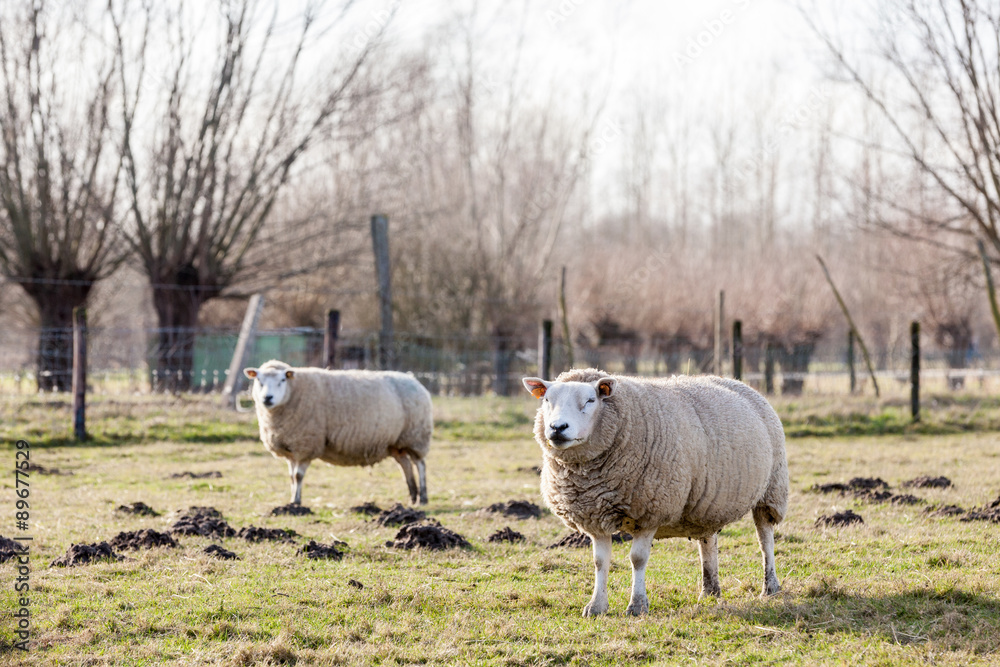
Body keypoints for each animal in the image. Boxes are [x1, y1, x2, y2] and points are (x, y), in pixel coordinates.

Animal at [244, 359, 432, 506]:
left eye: (282, 379)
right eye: (259, 380)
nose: (267, 398)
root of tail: (413, 379)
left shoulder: (306, 445)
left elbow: (298, 476)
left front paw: (296, 502)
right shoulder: (291, 450)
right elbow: (291, 477)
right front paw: (291, 500)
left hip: (416, 436)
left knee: (420, 465)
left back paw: (422, 498)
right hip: (397, 442)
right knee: (405, 465)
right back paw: (412, 496)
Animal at [522, 368, 788, 616]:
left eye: (590, 400)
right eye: (547, 400)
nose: (557, 428)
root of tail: (737, 382)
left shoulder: (650, 511)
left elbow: (637, 559)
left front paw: (637, 606)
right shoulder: (594, 516)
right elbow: (600, 562)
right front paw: (596, 606)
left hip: (771, 490)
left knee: (765, 540)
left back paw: (770, 587)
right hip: (707, 502)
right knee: (708, 541)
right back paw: (709, 592)